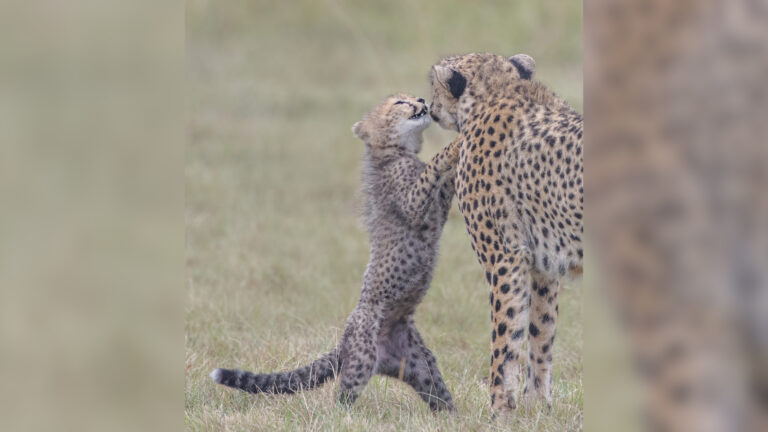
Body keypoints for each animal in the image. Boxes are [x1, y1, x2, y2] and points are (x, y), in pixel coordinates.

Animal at [211, 94, 460, 411]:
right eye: (399, 102)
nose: (420, 99)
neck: (395, 153)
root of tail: (344, 341)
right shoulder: (413, 203)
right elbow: (432, 169)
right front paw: (454, 145)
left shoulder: (440, 204)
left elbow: (444, 180)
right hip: (363, 360)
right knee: (341, 397)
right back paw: (342, 417)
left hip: (419, 364)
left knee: (437, 392)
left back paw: (458, 417)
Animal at [427, 52, 583, 413]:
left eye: (433, 85)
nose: (428, 106)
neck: (499, 89)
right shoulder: (543, 266)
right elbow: (540, 332)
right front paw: (536, 406)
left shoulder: (505, 258)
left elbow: (506, 336)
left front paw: (499, 408)